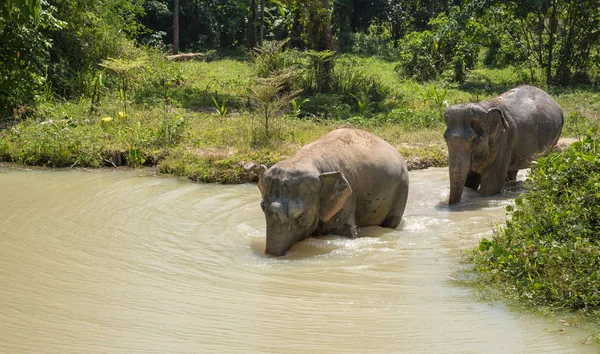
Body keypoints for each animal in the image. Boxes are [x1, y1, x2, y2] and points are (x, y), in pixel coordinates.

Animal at [258, 129, 408, 256]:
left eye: (300, 216)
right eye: (262, 207)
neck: (307, 159)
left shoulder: (347, 198)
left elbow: (340, 231)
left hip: (402, 188)